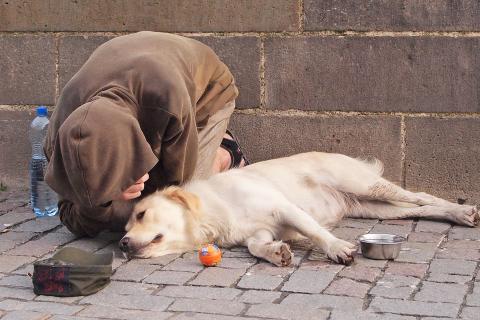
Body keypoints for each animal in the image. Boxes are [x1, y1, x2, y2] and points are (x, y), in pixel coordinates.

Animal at [118, 152, 478, 264]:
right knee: (419, 208)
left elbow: (315, 232)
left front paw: (337, 249)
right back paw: (456, 215)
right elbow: (257, 247)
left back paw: (463, 211)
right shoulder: (259, 232)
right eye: (126, 227)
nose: (122, 244)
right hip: (378, 208)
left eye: (141, 214)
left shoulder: (284, 208)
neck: (213, 211)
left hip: (365, 185)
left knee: (423, 197)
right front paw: (277, 253)